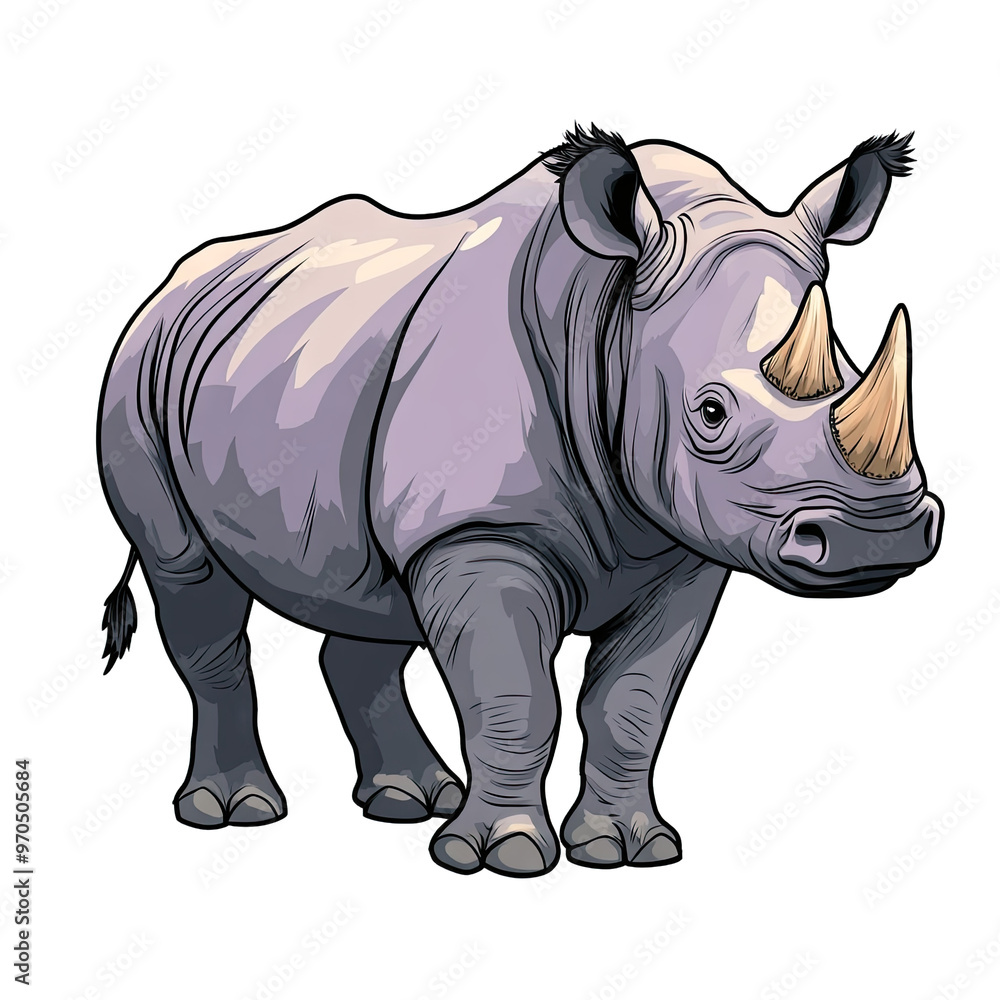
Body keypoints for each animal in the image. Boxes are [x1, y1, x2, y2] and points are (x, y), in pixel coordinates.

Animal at [98, 124, 942, 876]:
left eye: (848, 368)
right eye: (710, 414)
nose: (877, 537)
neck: (607, 319)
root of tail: (173, 282)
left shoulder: (681, 547)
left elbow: (633, 705)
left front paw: (627, 849)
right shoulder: (479, 529)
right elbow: (516, 695)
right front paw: (501, 857)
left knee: (366, 599)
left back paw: (409, 799)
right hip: (138, 368)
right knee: (190, 578)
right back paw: (234, 811)